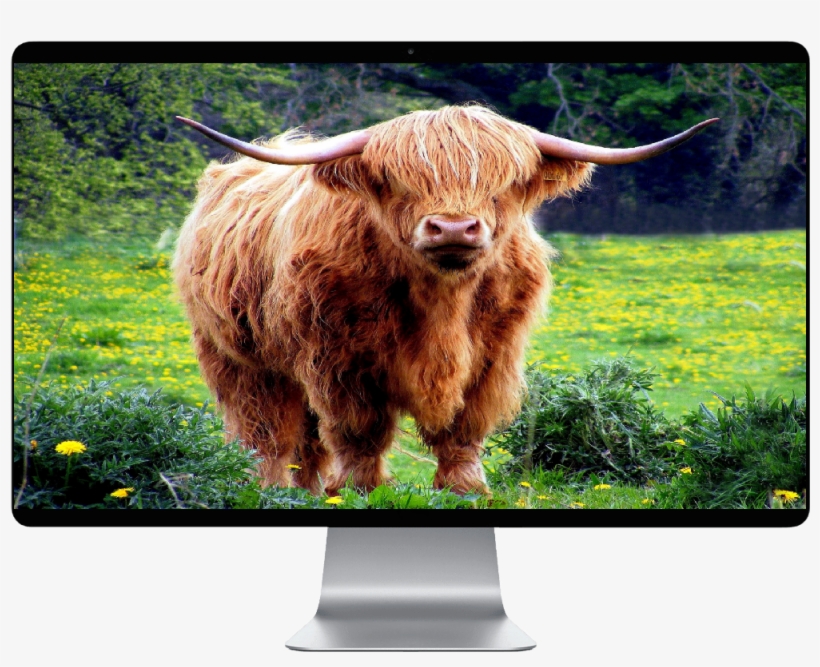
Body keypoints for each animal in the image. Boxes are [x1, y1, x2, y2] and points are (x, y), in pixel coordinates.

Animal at [173, 105, 716, 496]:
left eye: (503, 184)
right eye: (399, 181)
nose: (453, 227)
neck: (442, 304)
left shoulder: (493, 355)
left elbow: (464, 426)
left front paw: (466, 488)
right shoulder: (338, 358)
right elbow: (358, 428)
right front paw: (357, 489)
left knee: (303, 437)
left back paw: (304, 489)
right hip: (236, 356)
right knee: (264, 428)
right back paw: (268, 487)